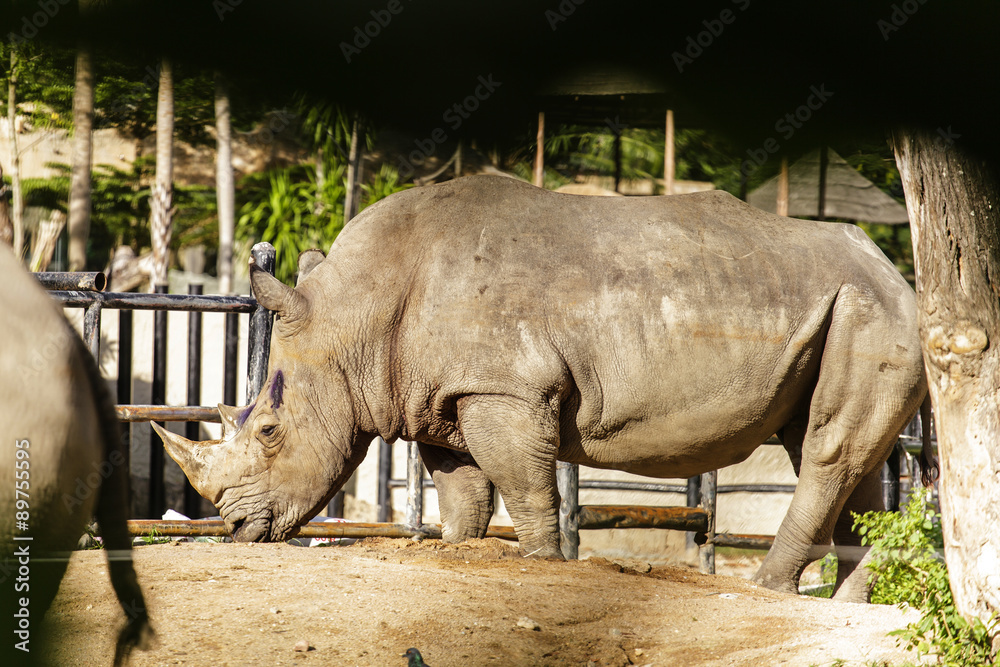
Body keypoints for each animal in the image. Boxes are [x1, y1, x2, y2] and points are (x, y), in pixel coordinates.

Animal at [155, 174, 927, 601]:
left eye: (269, 432)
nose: (235, 528)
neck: (354, 320)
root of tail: (900, 272)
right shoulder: (445, 395)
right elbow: (463, 492)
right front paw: (457, 551)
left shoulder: (505, 389)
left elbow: (524, 484)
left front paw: (541, 562)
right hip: (852, 305)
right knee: (841, 454)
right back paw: (851, 601)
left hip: (871, 310)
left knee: (824, 451)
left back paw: (768, 589)